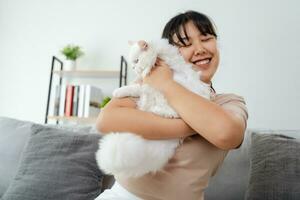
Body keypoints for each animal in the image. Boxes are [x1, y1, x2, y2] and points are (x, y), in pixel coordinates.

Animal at [95, 38, 211, 177]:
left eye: (136, 61)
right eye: (132, 63)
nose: (133, 68)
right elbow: (135, 86)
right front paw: (120, 91)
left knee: (169, 112)